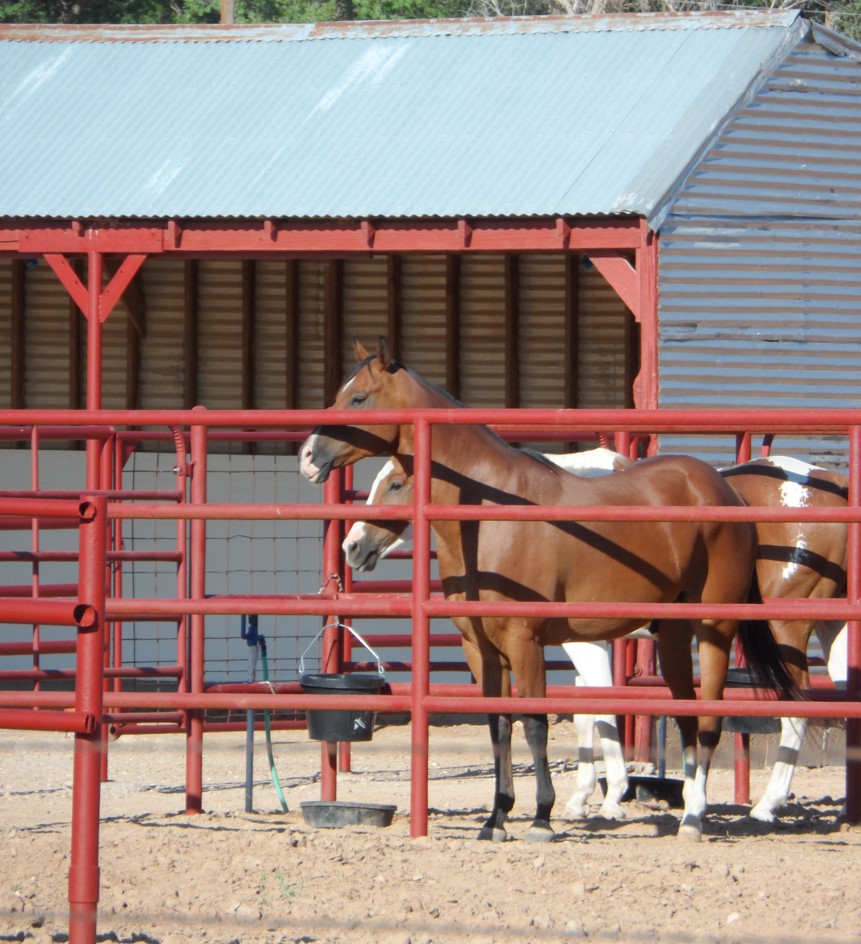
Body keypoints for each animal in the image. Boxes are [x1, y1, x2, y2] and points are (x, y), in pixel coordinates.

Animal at [301, 337, 798, 842]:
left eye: (358, 398)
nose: (308, 456)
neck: (490, 515)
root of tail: (727, 491)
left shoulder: (526, 641)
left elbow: (536, 724)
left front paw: (541, 816)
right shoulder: (481, 648)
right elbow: (499, 726)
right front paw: (496, 819)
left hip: (714, 628)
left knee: (712, 719)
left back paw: (696, 818)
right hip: (674, 635)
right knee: (687, 717)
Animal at [343, 449, 850, 825]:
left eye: (394, 484)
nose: (353, 545)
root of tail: (828, 485)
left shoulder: (582, 643)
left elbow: (599, 708)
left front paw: (608, 798)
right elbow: (587, 712)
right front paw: (583, 797)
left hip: (789, 628)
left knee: (796, 711)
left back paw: (765, 806)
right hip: (832, 629)